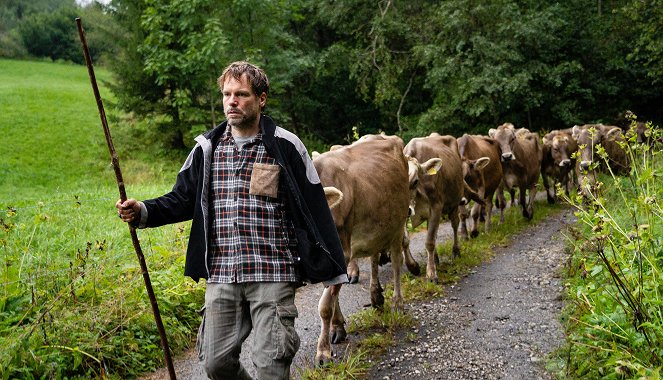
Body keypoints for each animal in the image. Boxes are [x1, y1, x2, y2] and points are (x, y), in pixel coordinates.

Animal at [314, 137, 412, 366]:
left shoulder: (342, 252)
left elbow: (325, 306)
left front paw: (323, 351)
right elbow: (333, 297)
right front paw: (338, 327)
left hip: (397, 224)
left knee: (396, 261)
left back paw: (397, 303)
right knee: (375, 255)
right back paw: (376, 297)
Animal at [400, 132, 466, 284]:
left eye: (415, 181)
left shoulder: (436, 206)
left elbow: (429, 241)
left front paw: (431, 274)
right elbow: (405, 241)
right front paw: (413, 266)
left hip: (454, 203)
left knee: (455, 224)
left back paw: (456, 251)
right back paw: (435, 259)